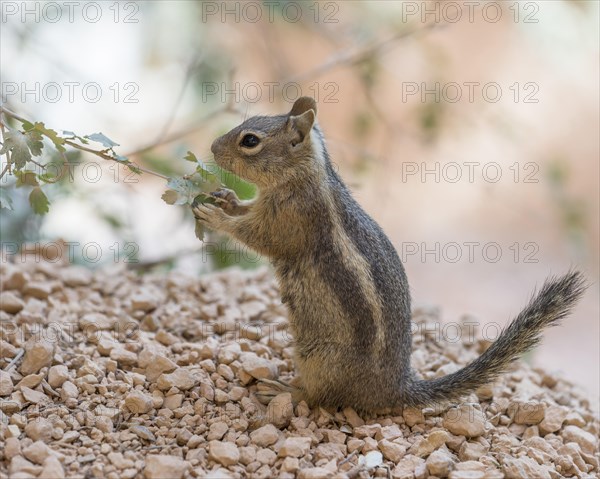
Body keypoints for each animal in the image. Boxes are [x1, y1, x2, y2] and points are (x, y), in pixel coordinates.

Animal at [195, 96, 588, 412]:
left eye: (250, 140)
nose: (212, 147)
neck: (305, 175)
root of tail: (394, 388)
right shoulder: (266, 205)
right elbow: (247, 211)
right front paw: (226, 199)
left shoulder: (294, 220)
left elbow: (260, 237)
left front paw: (215, 216)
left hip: (319, 359)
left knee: (321, 398)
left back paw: (285, 391)